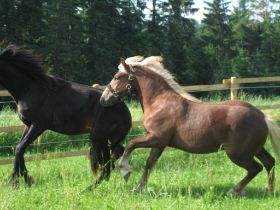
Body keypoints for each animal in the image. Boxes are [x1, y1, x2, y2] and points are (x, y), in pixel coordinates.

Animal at [0, 45, 131, 186]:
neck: (31, 89)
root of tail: (127, 113)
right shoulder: (28, 125)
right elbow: (20, 149)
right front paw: (24, 178)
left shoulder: (39, 125)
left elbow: (20, 148)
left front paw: (17, 180)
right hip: (110, 140)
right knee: (116, 156)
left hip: (99, 139)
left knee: (107, 165)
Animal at [100, 55, 280, 195]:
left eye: (117, 77)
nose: (103, 99)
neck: (160, 102)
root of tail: (262, 116)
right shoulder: (160, 143)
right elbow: (150, 163)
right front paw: (139, 188)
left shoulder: (156, 138)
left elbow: (131, 144)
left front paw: (125, 171)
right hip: (254, 149)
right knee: (269, 162)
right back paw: (268, 189)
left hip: (238, 154)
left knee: (255, 168)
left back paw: (234, 191)